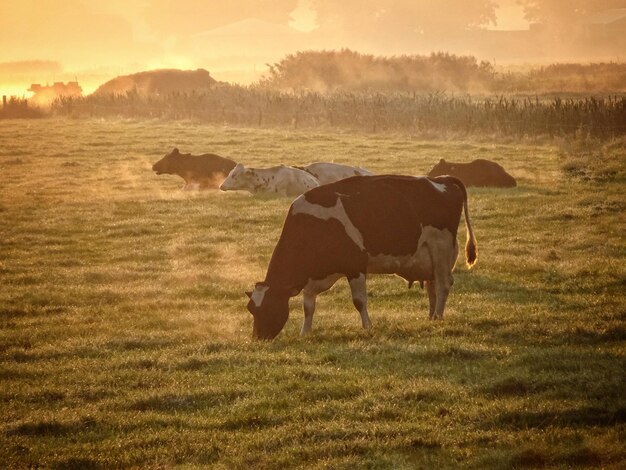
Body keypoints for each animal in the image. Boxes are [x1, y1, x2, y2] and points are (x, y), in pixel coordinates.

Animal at [246, 174, 476, 340]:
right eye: (251, 310)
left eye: (269, 307)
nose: (258, 338)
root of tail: (441, 179)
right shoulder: (314, 276)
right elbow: (308, 305)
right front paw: (305, 332)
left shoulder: (355, 265)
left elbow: (359, 301)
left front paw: (367, 327)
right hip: (429, 256)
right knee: (432, 286)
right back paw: (430, 318)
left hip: (441, 247)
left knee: (443, 285)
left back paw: (438, 317)